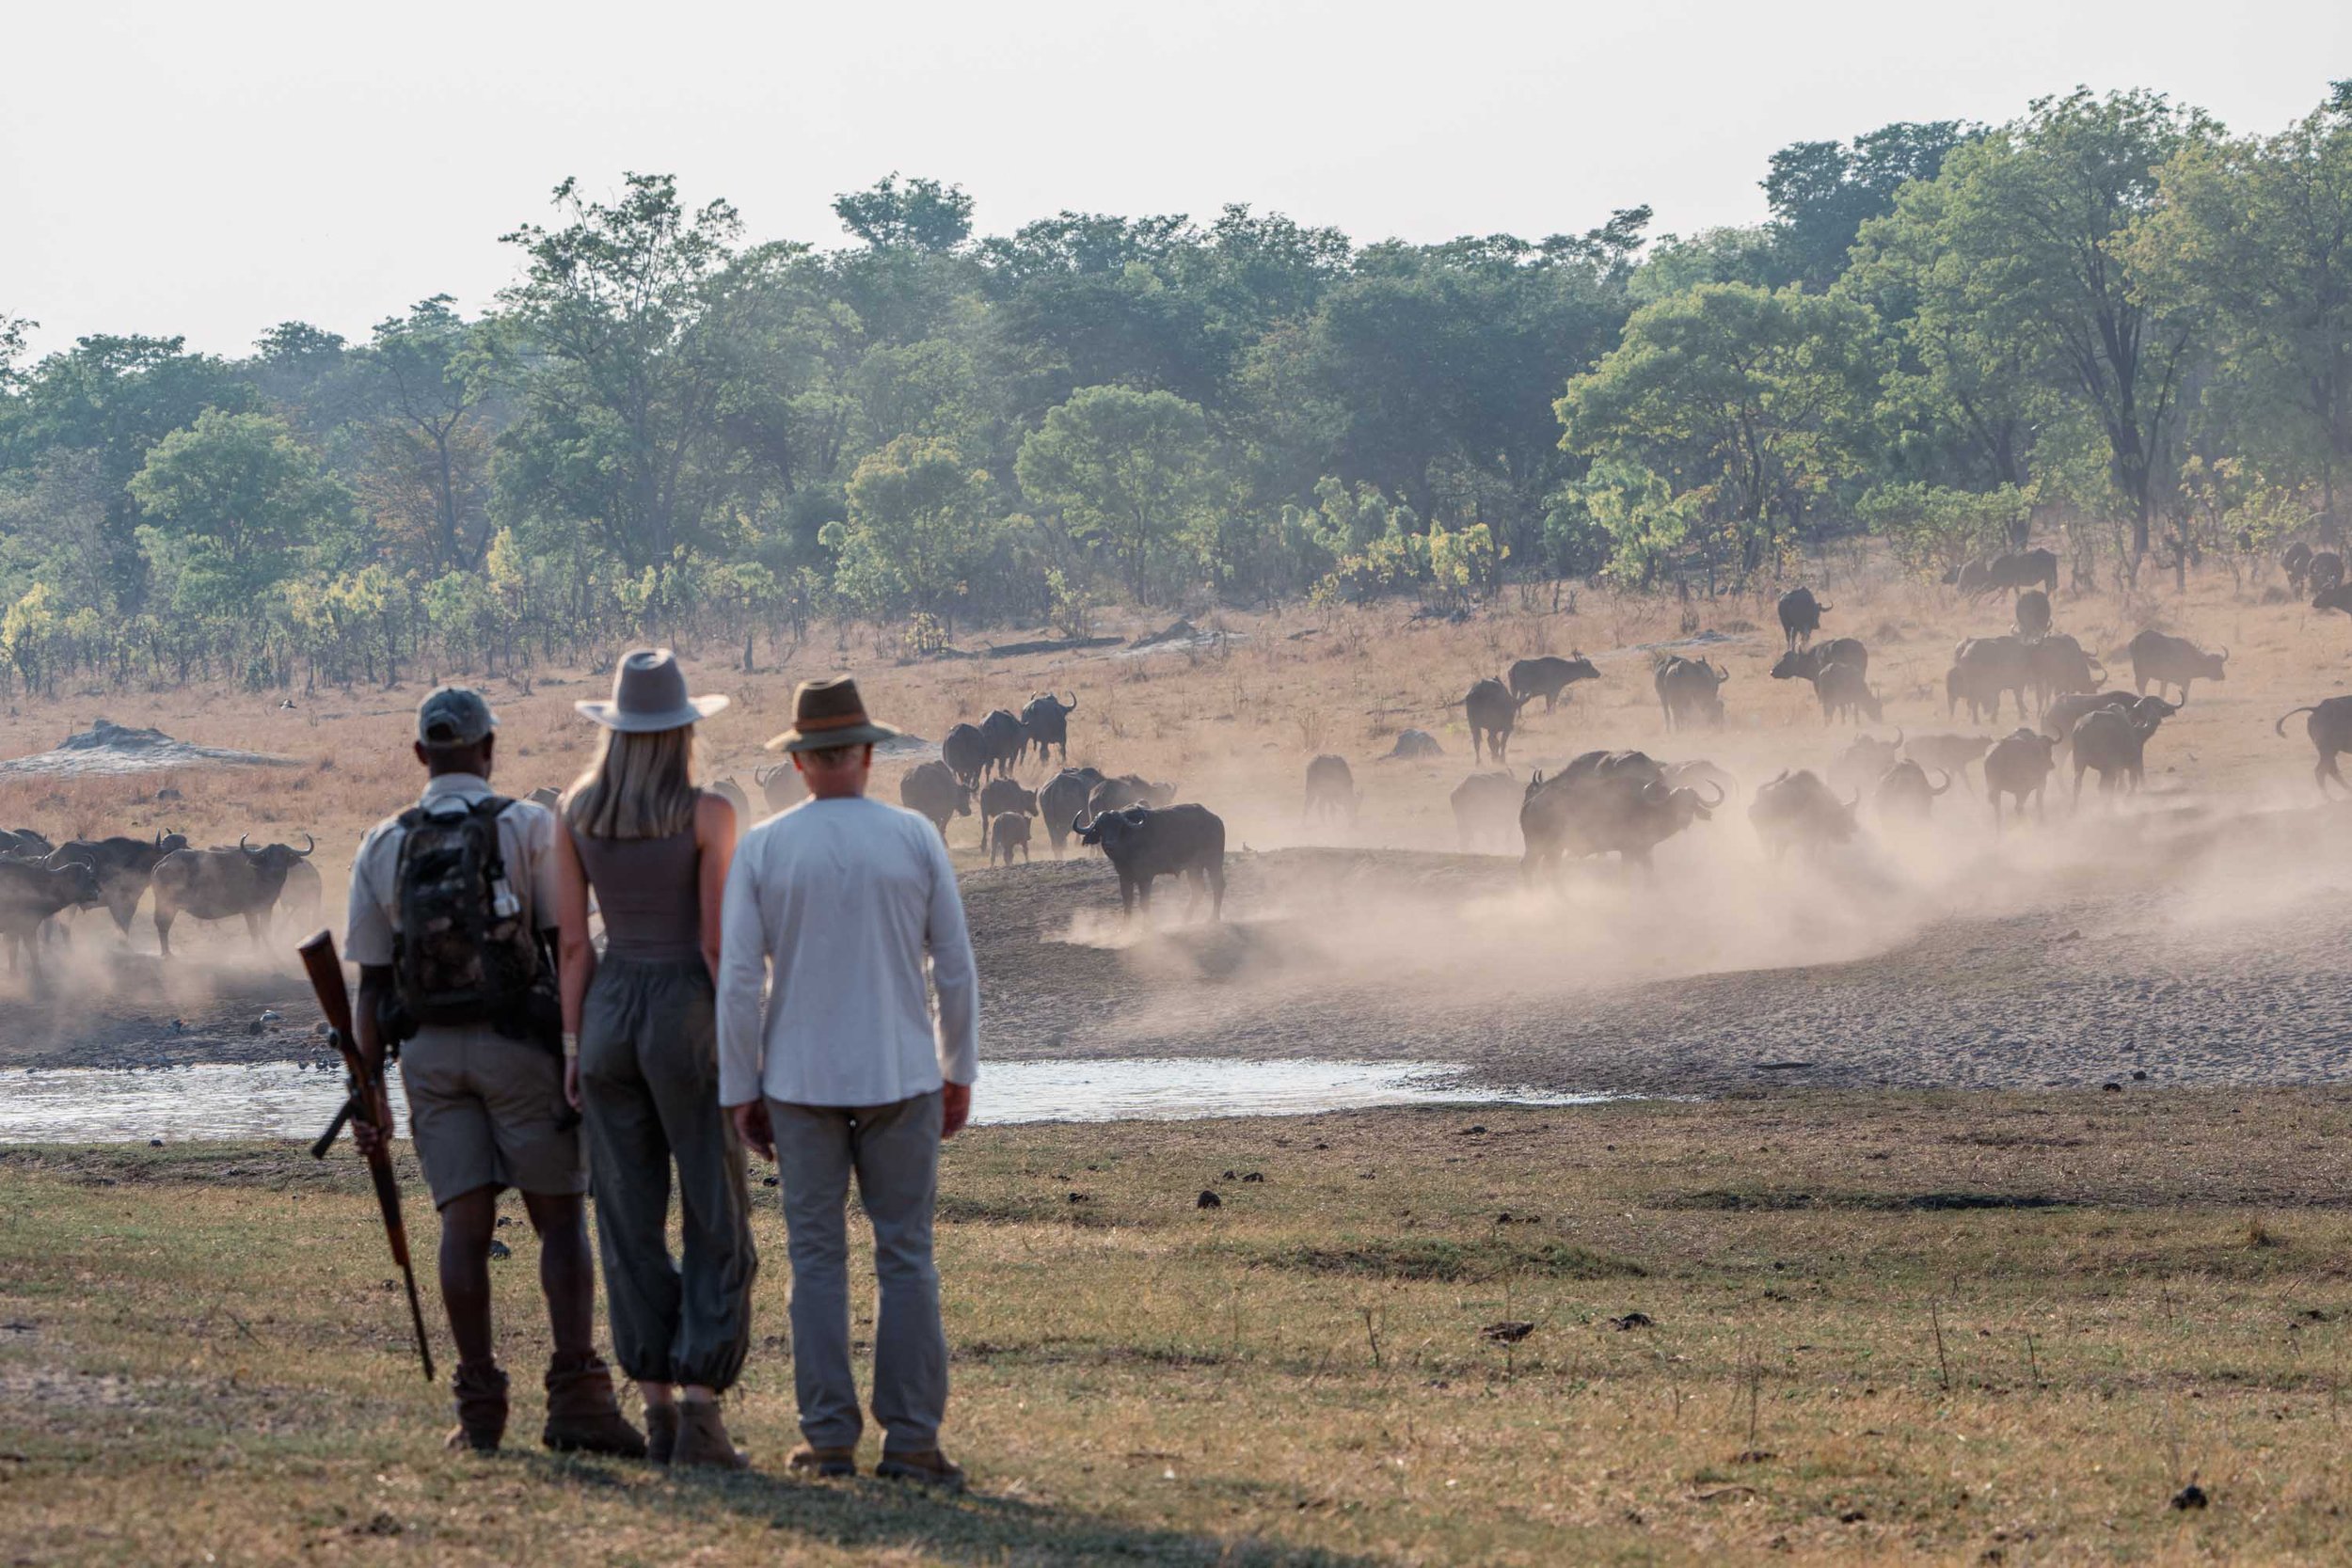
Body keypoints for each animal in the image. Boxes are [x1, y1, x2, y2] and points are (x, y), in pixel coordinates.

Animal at [152, 832, 317, 958]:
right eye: (267, 855)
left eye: (285, 855)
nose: (276, 870)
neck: (260, 875)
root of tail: (162, 863)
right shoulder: (249, 911)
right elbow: (254, 932)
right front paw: (257, 952)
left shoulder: (266, 908)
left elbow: (266, 930)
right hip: (167, 905)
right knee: (163, 925)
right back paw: (167, 954)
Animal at [1077, 803, 1232, 926]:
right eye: (1100, 827)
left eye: (1119, 826)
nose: (1109, 844)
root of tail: (1215, 819)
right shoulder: (1124, 877)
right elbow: (1127, 903)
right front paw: (1124, 929)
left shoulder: (1145, 877)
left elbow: (1144, 903)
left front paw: (1146, 927)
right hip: (1194, 868)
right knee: (1198, 890)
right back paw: (1185, 919)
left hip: (1213, 862)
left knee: (1218, 885)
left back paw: (1213, 918)